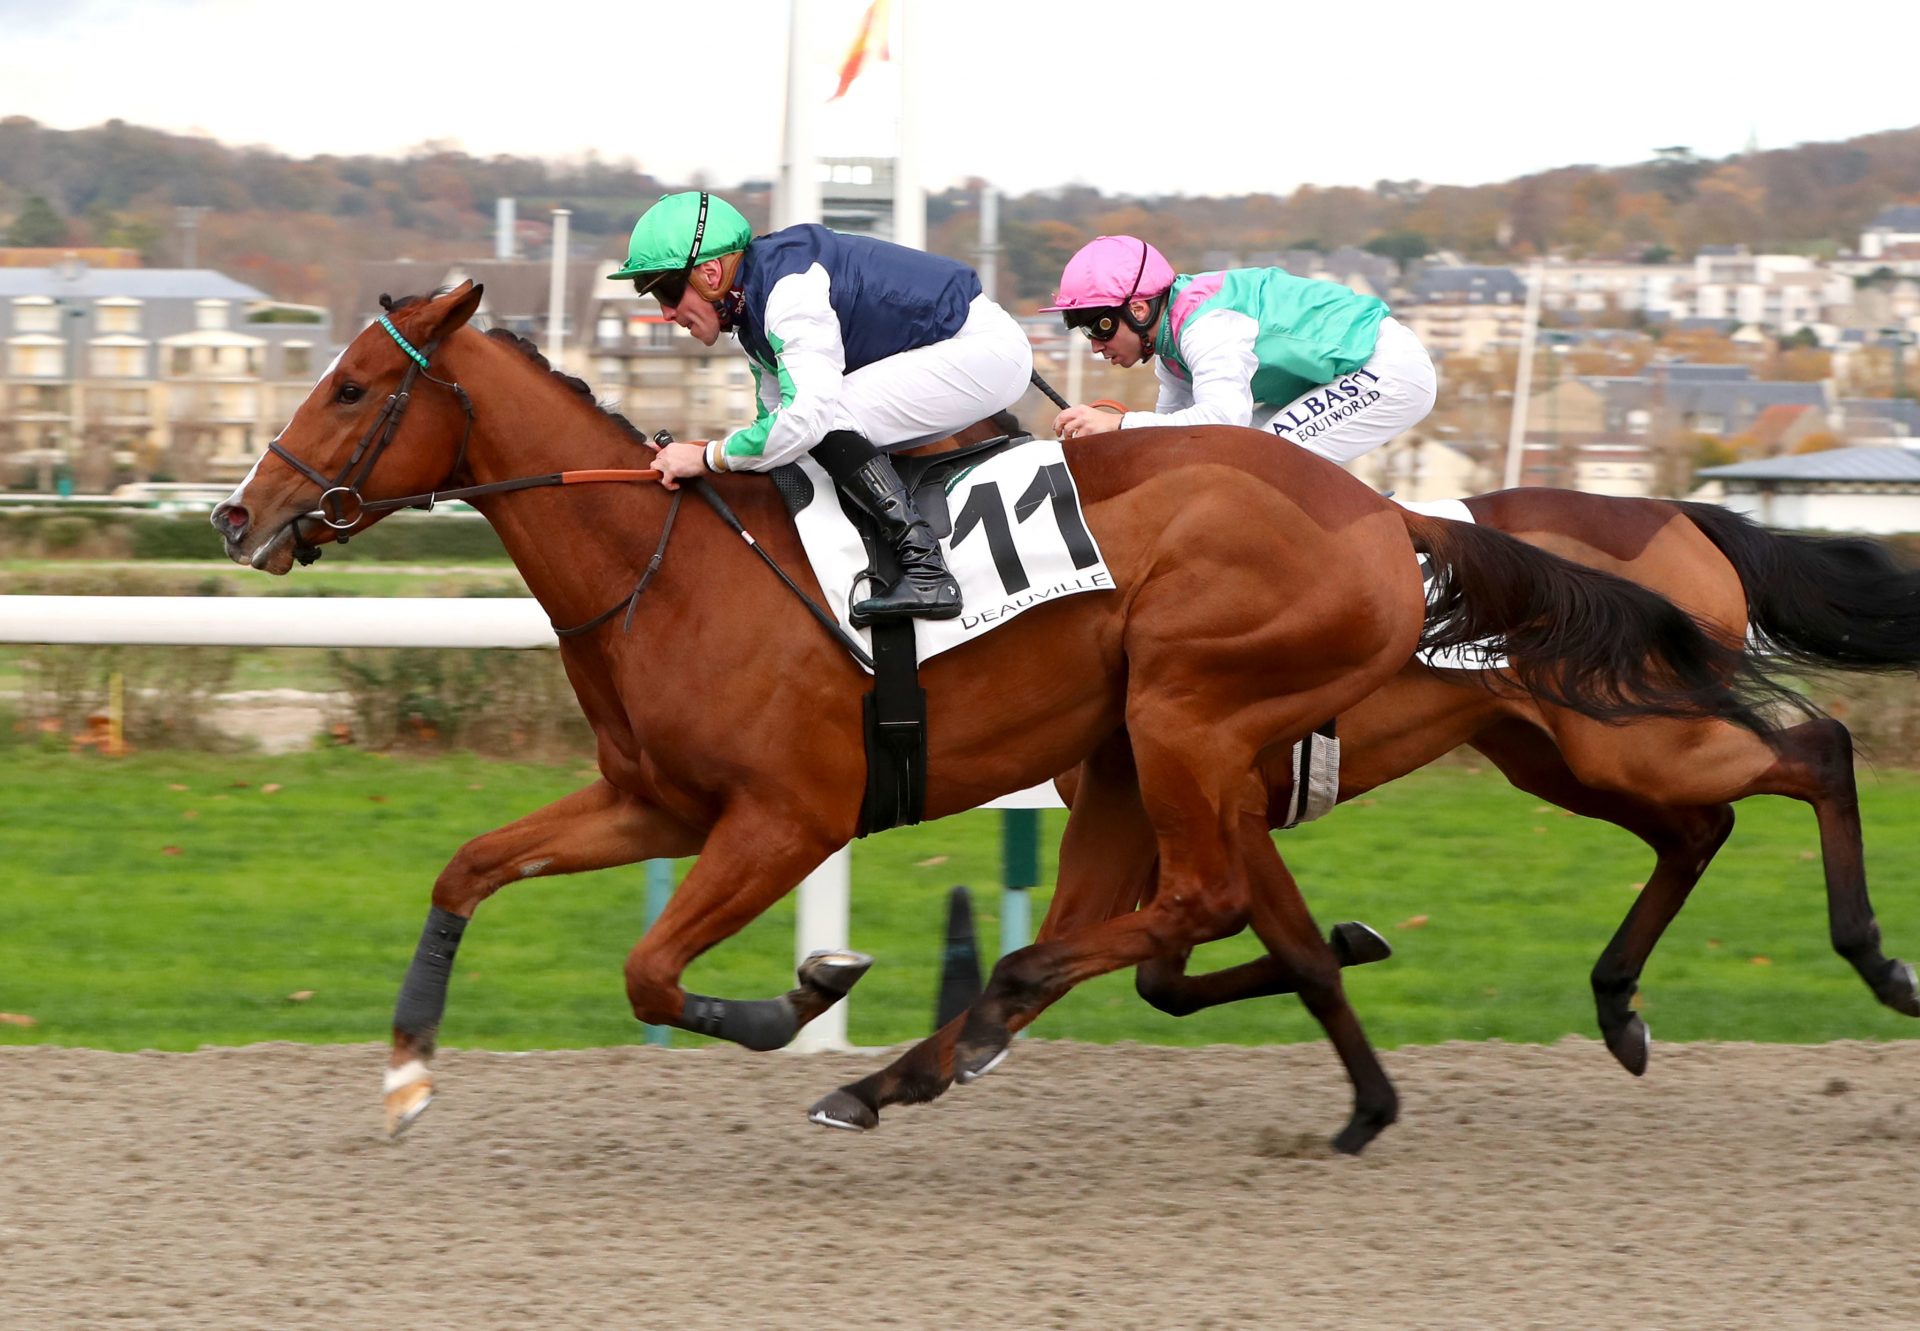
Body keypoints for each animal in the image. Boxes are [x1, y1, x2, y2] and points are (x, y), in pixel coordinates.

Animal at [217, 282, 1774, 1152]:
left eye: (353, 385)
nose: (241, 515)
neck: (666, 566)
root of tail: (1392, 521)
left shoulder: (786, 817)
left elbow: (654, 973)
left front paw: (808, 991)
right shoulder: (654, 800)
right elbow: (469, 868)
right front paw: (406, 1073)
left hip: (1199, 714)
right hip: (1160, 749)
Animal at [810, 487, 1920, 1144]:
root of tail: (1681, 515)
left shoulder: (1223, 802)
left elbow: (1277, 959)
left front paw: (1367, 1102)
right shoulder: (1174, 816)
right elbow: (1178, 975)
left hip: (1631, 735)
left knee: (1818, 752)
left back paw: (1878, 959)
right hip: (1558, 752)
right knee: (1698, 830)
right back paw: (1617, 1006)